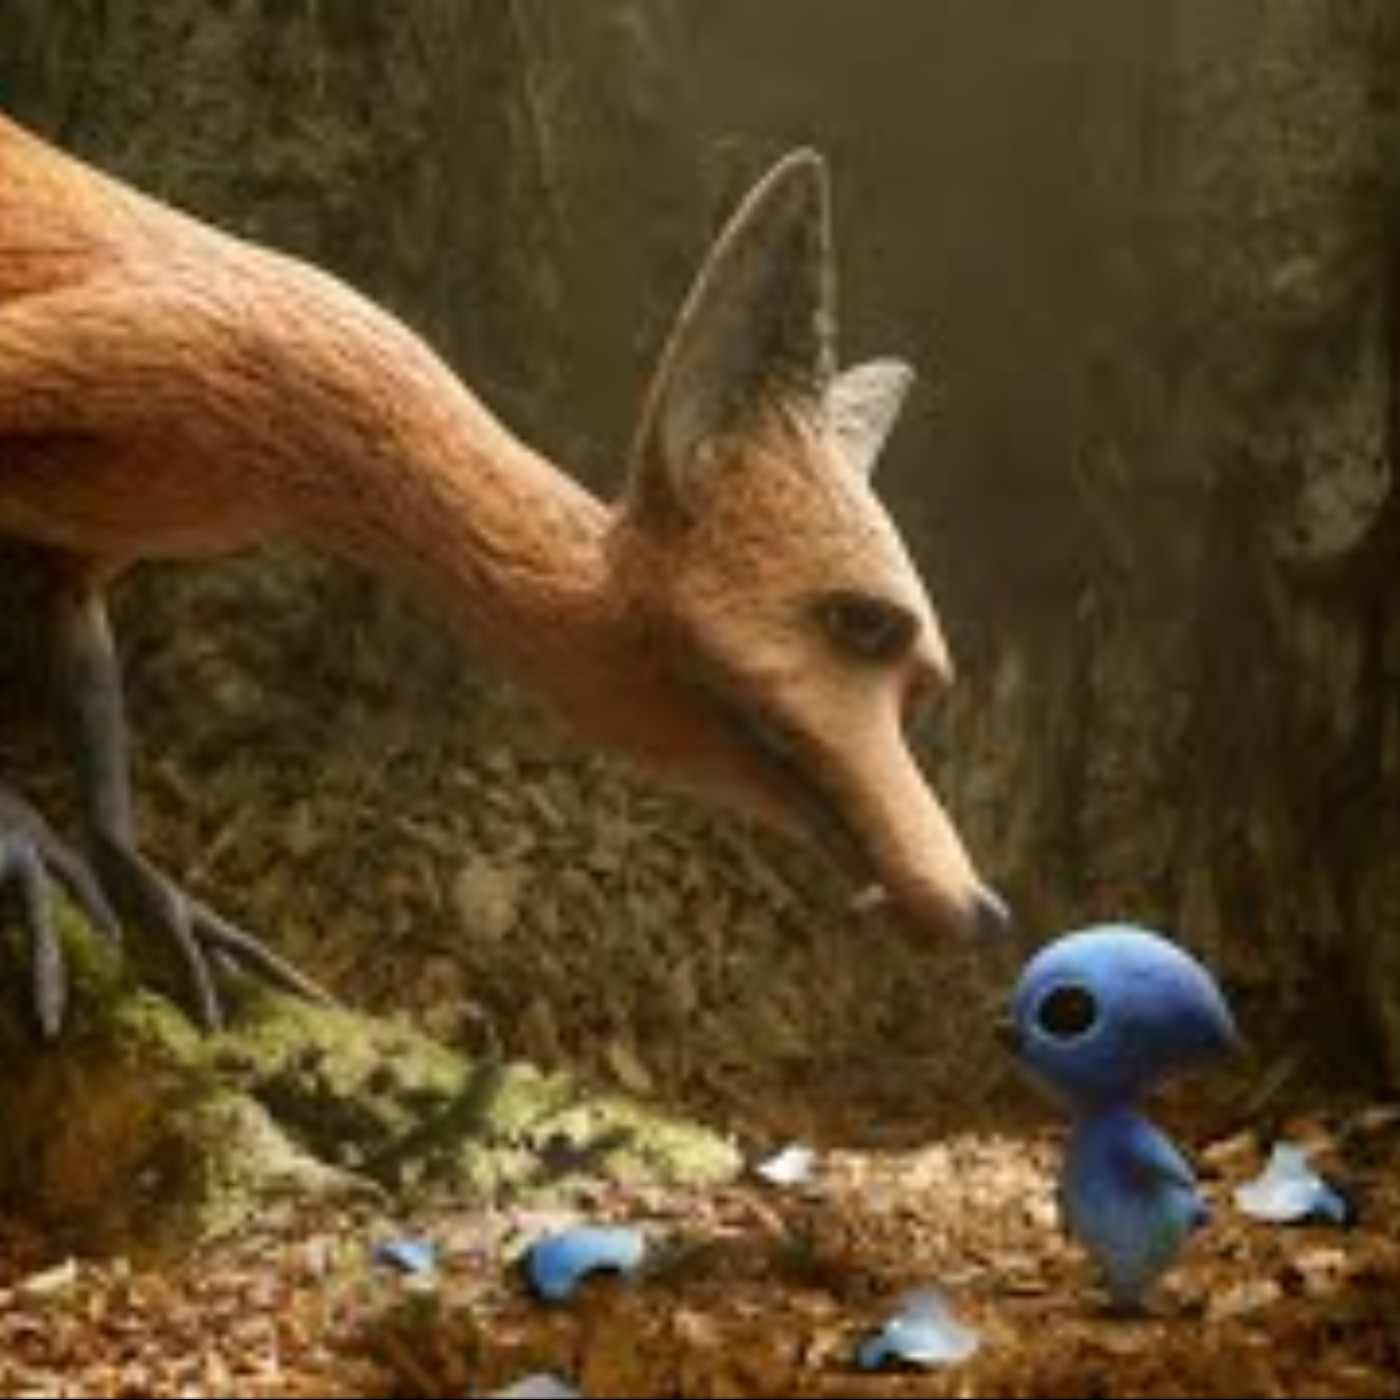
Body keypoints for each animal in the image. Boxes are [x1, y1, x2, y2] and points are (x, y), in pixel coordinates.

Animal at [0, 110, 1010, 1036]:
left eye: (924, 682)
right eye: (864, 622)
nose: (984, 911)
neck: (272, 440)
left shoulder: (95, 543)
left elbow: (84, 662)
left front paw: (160, 900)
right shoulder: (109, 352)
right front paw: (22, 848)